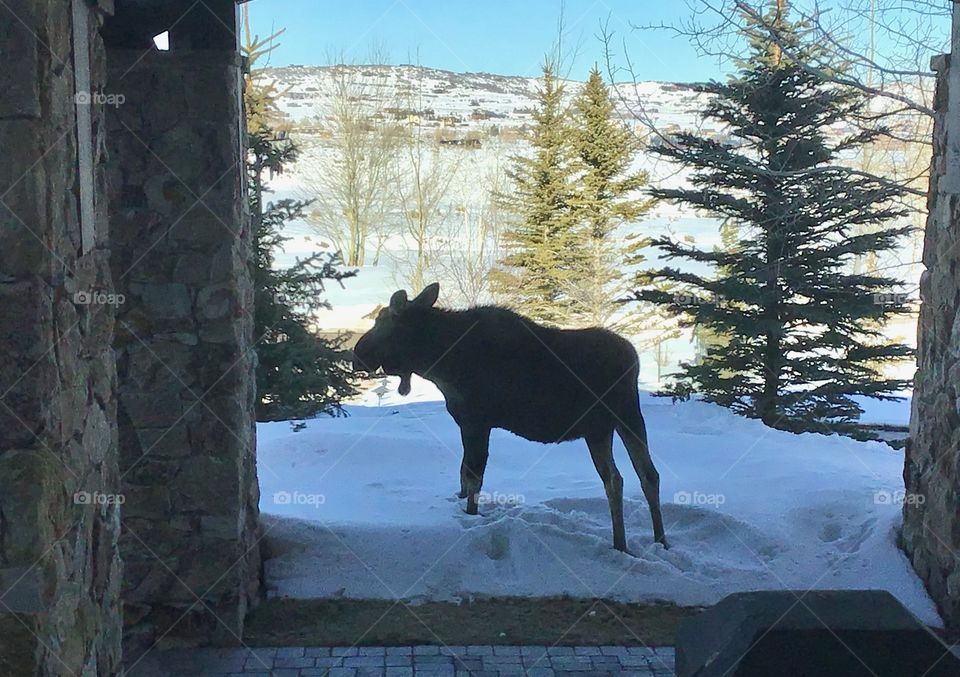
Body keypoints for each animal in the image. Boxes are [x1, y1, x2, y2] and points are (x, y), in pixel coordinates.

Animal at [352, 282, 668, 552]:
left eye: (382, 323)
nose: (356, 354)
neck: (439, 362)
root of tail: (634, 359)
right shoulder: (471, 424)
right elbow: (463, 474)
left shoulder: (476, 421)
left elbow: (473, 476)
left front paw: (471, 515)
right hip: (614, 425)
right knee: (645, 475)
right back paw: (657, 541)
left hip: (612, 421)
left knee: (619, 479)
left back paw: (623, 544)